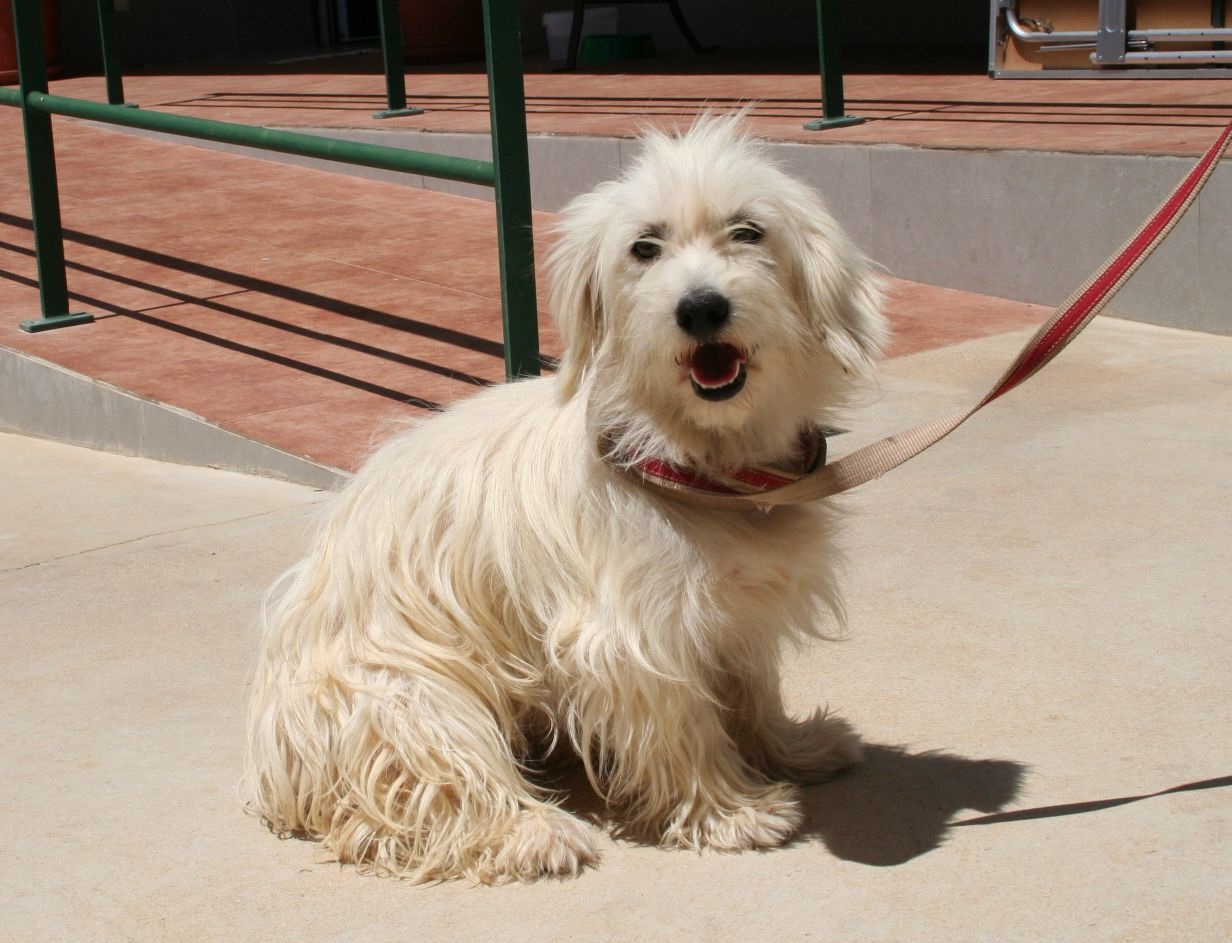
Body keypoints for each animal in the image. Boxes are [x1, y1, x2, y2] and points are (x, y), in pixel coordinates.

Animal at [244, 114, 887, 883]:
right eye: (645, 247)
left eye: (748, 231)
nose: (700, 307)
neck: (697, 460)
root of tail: (276, 769)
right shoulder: (632, 634)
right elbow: (684, 727)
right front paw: (727, 810)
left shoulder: (736, 614)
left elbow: (752, 693)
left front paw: (791, 750)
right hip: (410, 693)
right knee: (436, 784)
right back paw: (529, 832)